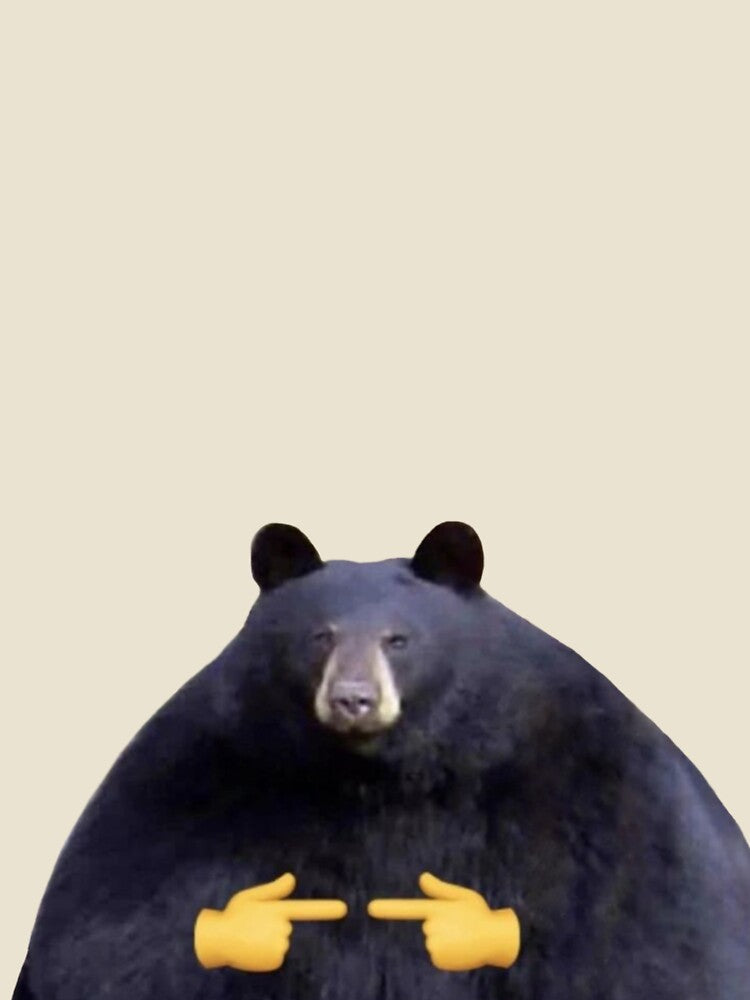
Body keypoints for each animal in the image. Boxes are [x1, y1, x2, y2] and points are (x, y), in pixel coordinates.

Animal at [13, 521, 750, 1000]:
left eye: (399, 639)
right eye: (320, 636)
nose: (353, 699)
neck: (384, 777)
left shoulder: (593, 788)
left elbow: (657, 938)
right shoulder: (195, 786)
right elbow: (122, 939)